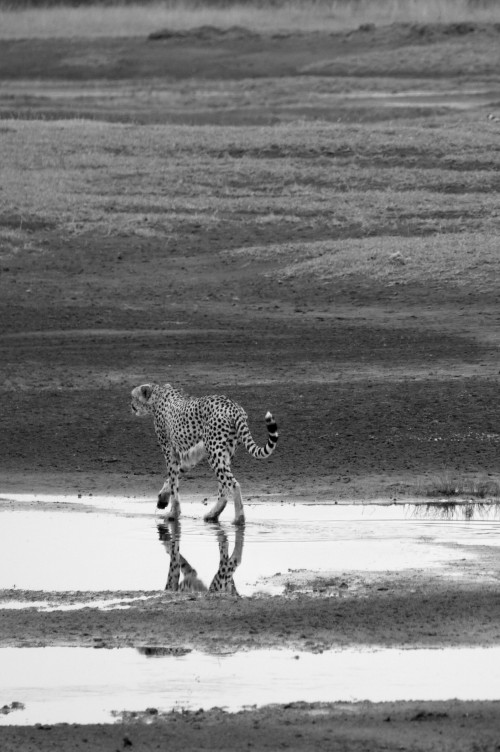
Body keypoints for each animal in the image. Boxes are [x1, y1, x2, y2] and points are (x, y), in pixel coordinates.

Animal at [130, 382, 279, 525]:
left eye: (133, 397)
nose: (131, 406)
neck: (158, 394)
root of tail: (233, 406)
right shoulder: (191, 455)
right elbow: (174, 477)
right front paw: (162, 498)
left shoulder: (170, 452)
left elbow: (173, 482)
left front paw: (173, 513)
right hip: (223, 453)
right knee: (223, 489)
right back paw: (213, 515)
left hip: (214, 454)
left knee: (233, 485)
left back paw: (239, 519)